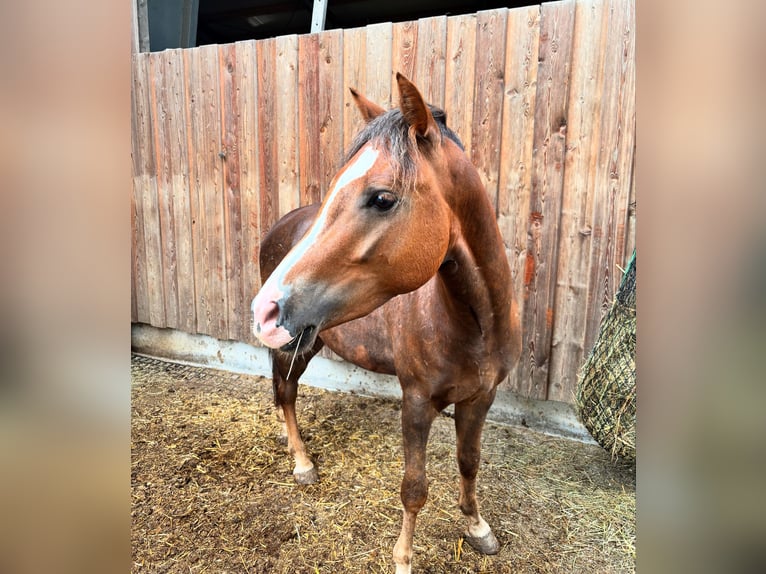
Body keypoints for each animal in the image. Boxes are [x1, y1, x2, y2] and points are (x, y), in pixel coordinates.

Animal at [250, 73, 521, 574]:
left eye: (382, 198)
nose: (265, 311)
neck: (476, 325)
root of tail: (280, 224)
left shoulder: (481, 398)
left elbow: (469, 462)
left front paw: (478, 528)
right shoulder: (415, 402)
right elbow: (414, 489)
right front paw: (403, 560)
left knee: (280, 390)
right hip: (296, 344)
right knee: (286, 389)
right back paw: (301, 462)